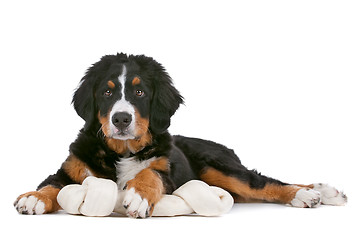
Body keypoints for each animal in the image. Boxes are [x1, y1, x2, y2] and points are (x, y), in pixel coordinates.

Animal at [13, 53, 346, 218]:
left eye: (139, 92)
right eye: (106, 92)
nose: (121, 119)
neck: (122, 150)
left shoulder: (168, 170)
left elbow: (150, 173)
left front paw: (136, 196)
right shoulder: (71, 169)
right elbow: (52, 185)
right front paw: (33, 198)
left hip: (217, 168)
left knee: (263, 183)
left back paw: (307, 194)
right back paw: (323, 191)